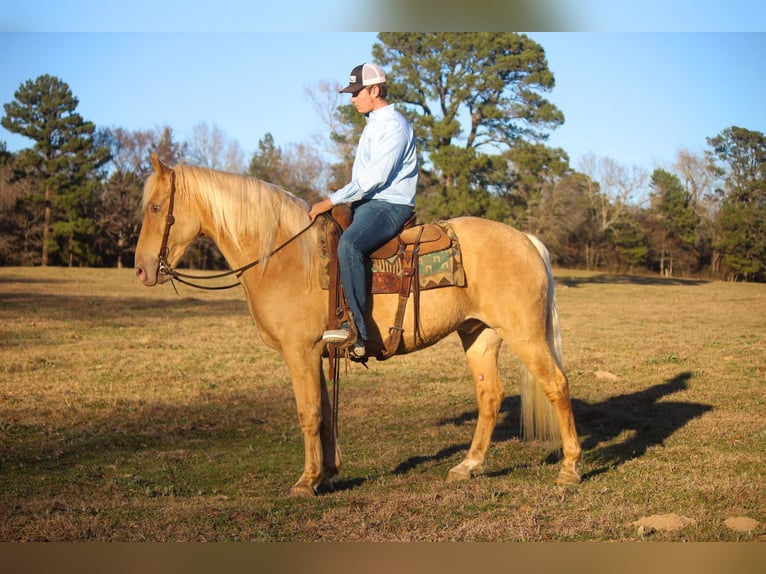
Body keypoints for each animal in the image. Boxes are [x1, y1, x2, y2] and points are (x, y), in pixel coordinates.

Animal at [134, 155, 584, 498]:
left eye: (155, 208)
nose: (140, 269)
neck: (281, 257)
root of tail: (526, 239)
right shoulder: (317, 353)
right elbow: (325, 411)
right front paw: (327, 473)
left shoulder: (300, 352)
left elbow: (309, 412)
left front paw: (306, 481)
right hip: (479, 333)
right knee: (490, 395)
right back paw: (468, 466)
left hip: (525, 335)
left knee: (556, 385)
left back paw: (569, 470)